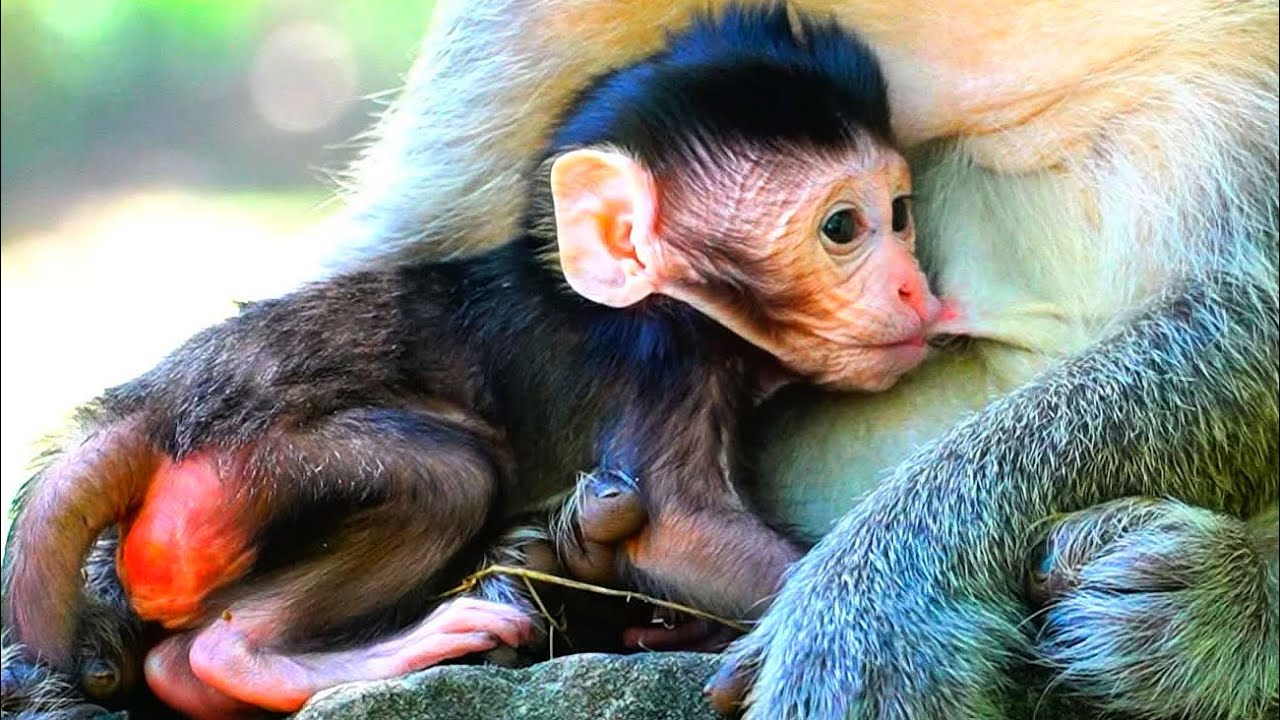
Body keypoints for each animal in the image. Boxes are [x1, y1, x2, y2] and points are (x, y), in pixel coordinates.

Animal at [1, 8, 947, 717]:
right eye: (843, 228)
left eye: (901, 214)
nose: (917, 289)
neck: (667, 303)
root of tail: (150, 406)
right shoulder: (664, 366)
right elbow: (678, 528)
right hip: (237, 473)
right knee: (447, 476)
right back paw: (264, 659)